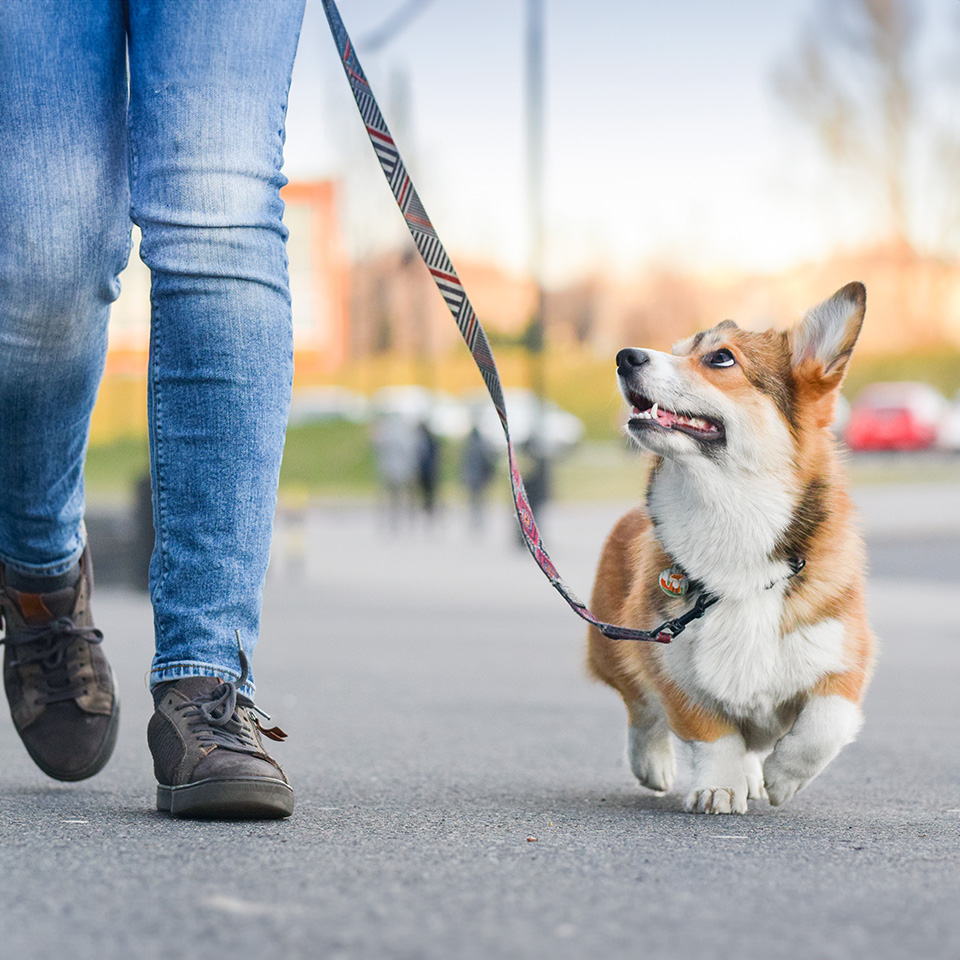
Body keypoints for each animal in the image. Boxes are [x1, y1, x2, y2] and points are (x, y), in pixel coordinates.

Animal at [588, 282, 872, 812]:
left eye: (720, 357)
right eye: (676, 350)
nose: (625, 356)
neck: (732, 516)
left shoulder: (845, 656)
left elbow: (826, 723)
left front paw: (783, 777)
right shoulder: (670, 661)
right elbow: (712, 734)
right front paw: (717, 787)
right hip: (613, 644)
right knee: (641, 708)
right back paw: (653, 764)